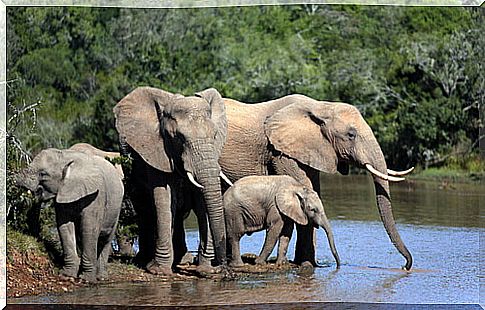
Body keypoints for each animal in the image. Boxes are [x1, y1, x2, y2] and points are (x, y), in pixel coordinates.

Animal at [16, 147, 124, 282]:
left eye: (43, 174)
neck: (65, 156)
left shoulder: (95, 195)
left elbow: (89, 229)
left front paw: (86, 279)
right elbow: (65, 227)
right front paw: (67, 275)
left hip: (116, 208)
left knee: (106, 239)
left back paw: (101, 277)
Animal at [112, 86, 230, 274]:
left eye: (215, 136)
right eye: (180, 138)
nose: (223, 270)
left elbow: (201, 199)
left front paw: (204, 269)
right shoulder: (156, 149)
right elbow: (164, 196)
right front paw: (158, 271)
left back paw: (184, 260)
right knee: (144, 206)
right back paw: (143, 260)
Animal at [219, 95, 412, 272]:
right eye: (351, 135)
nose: (405, 266)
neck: (321, 107)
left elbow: (313, 189)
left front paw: (308, 265)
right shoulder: (280, 152)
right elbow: (304, 186)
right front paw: (307, 267)